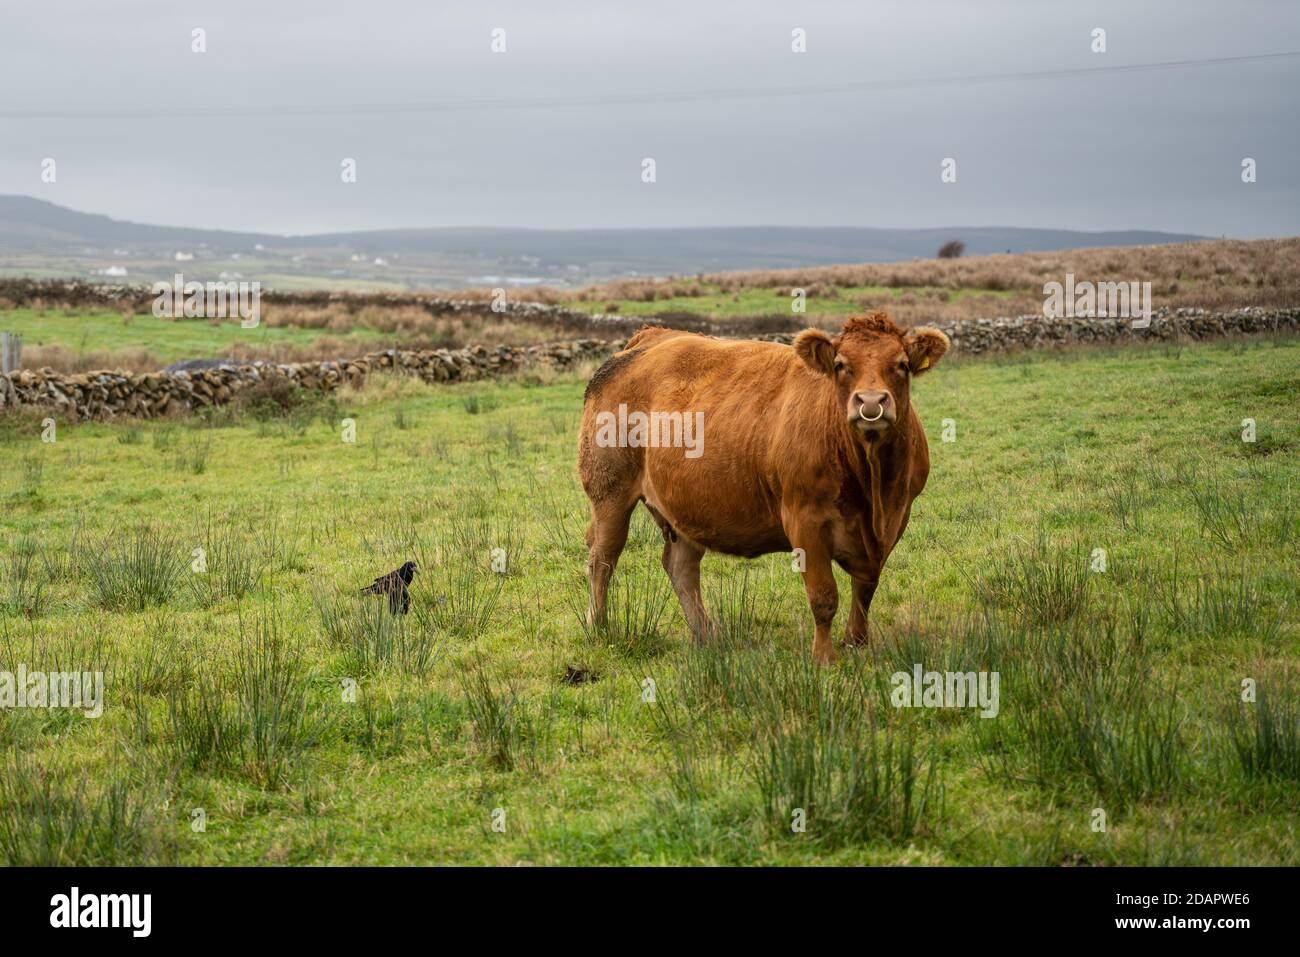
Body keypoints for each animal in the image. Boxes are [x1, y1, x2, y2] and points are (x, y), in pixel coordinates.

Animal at [585, 310, 951, 660]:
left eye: (901, 364)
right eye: (840, 365)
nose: (871, 403)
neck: (871, 486)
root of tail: (650, 337)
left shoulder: (895, 519)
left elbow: (865, 589)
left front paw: (856, 643)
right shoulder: (804, 520)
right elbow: (823, 596)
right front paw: (824, 657)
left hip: (684, 509)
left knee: (681, 567)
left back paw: (705, 635)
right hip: (609, 492)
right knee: (603, 559)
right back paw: (600, 627)